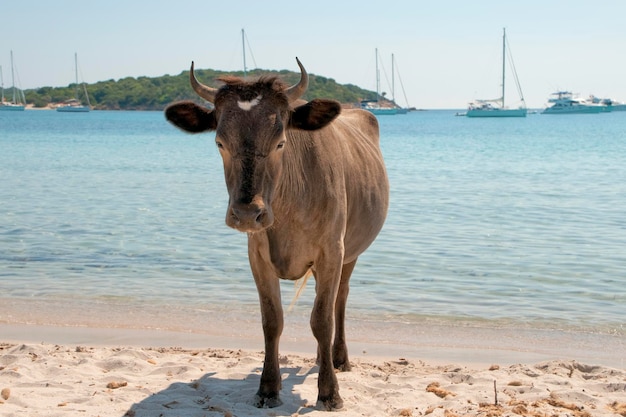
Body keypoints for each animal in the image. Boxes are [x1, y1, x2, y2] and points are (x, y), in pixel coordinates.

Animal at [165, 58, 390, 410]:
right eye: (219, 143)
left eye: (280, 142)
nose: (246, 213)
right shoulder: (257, 255)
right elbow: (272, 321)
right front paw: (269, 387)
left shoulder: (332, 251)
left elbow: (322, 320)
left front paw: (329, 391)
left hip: (351, 252)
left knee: (340, 299)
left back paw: (338, 358)